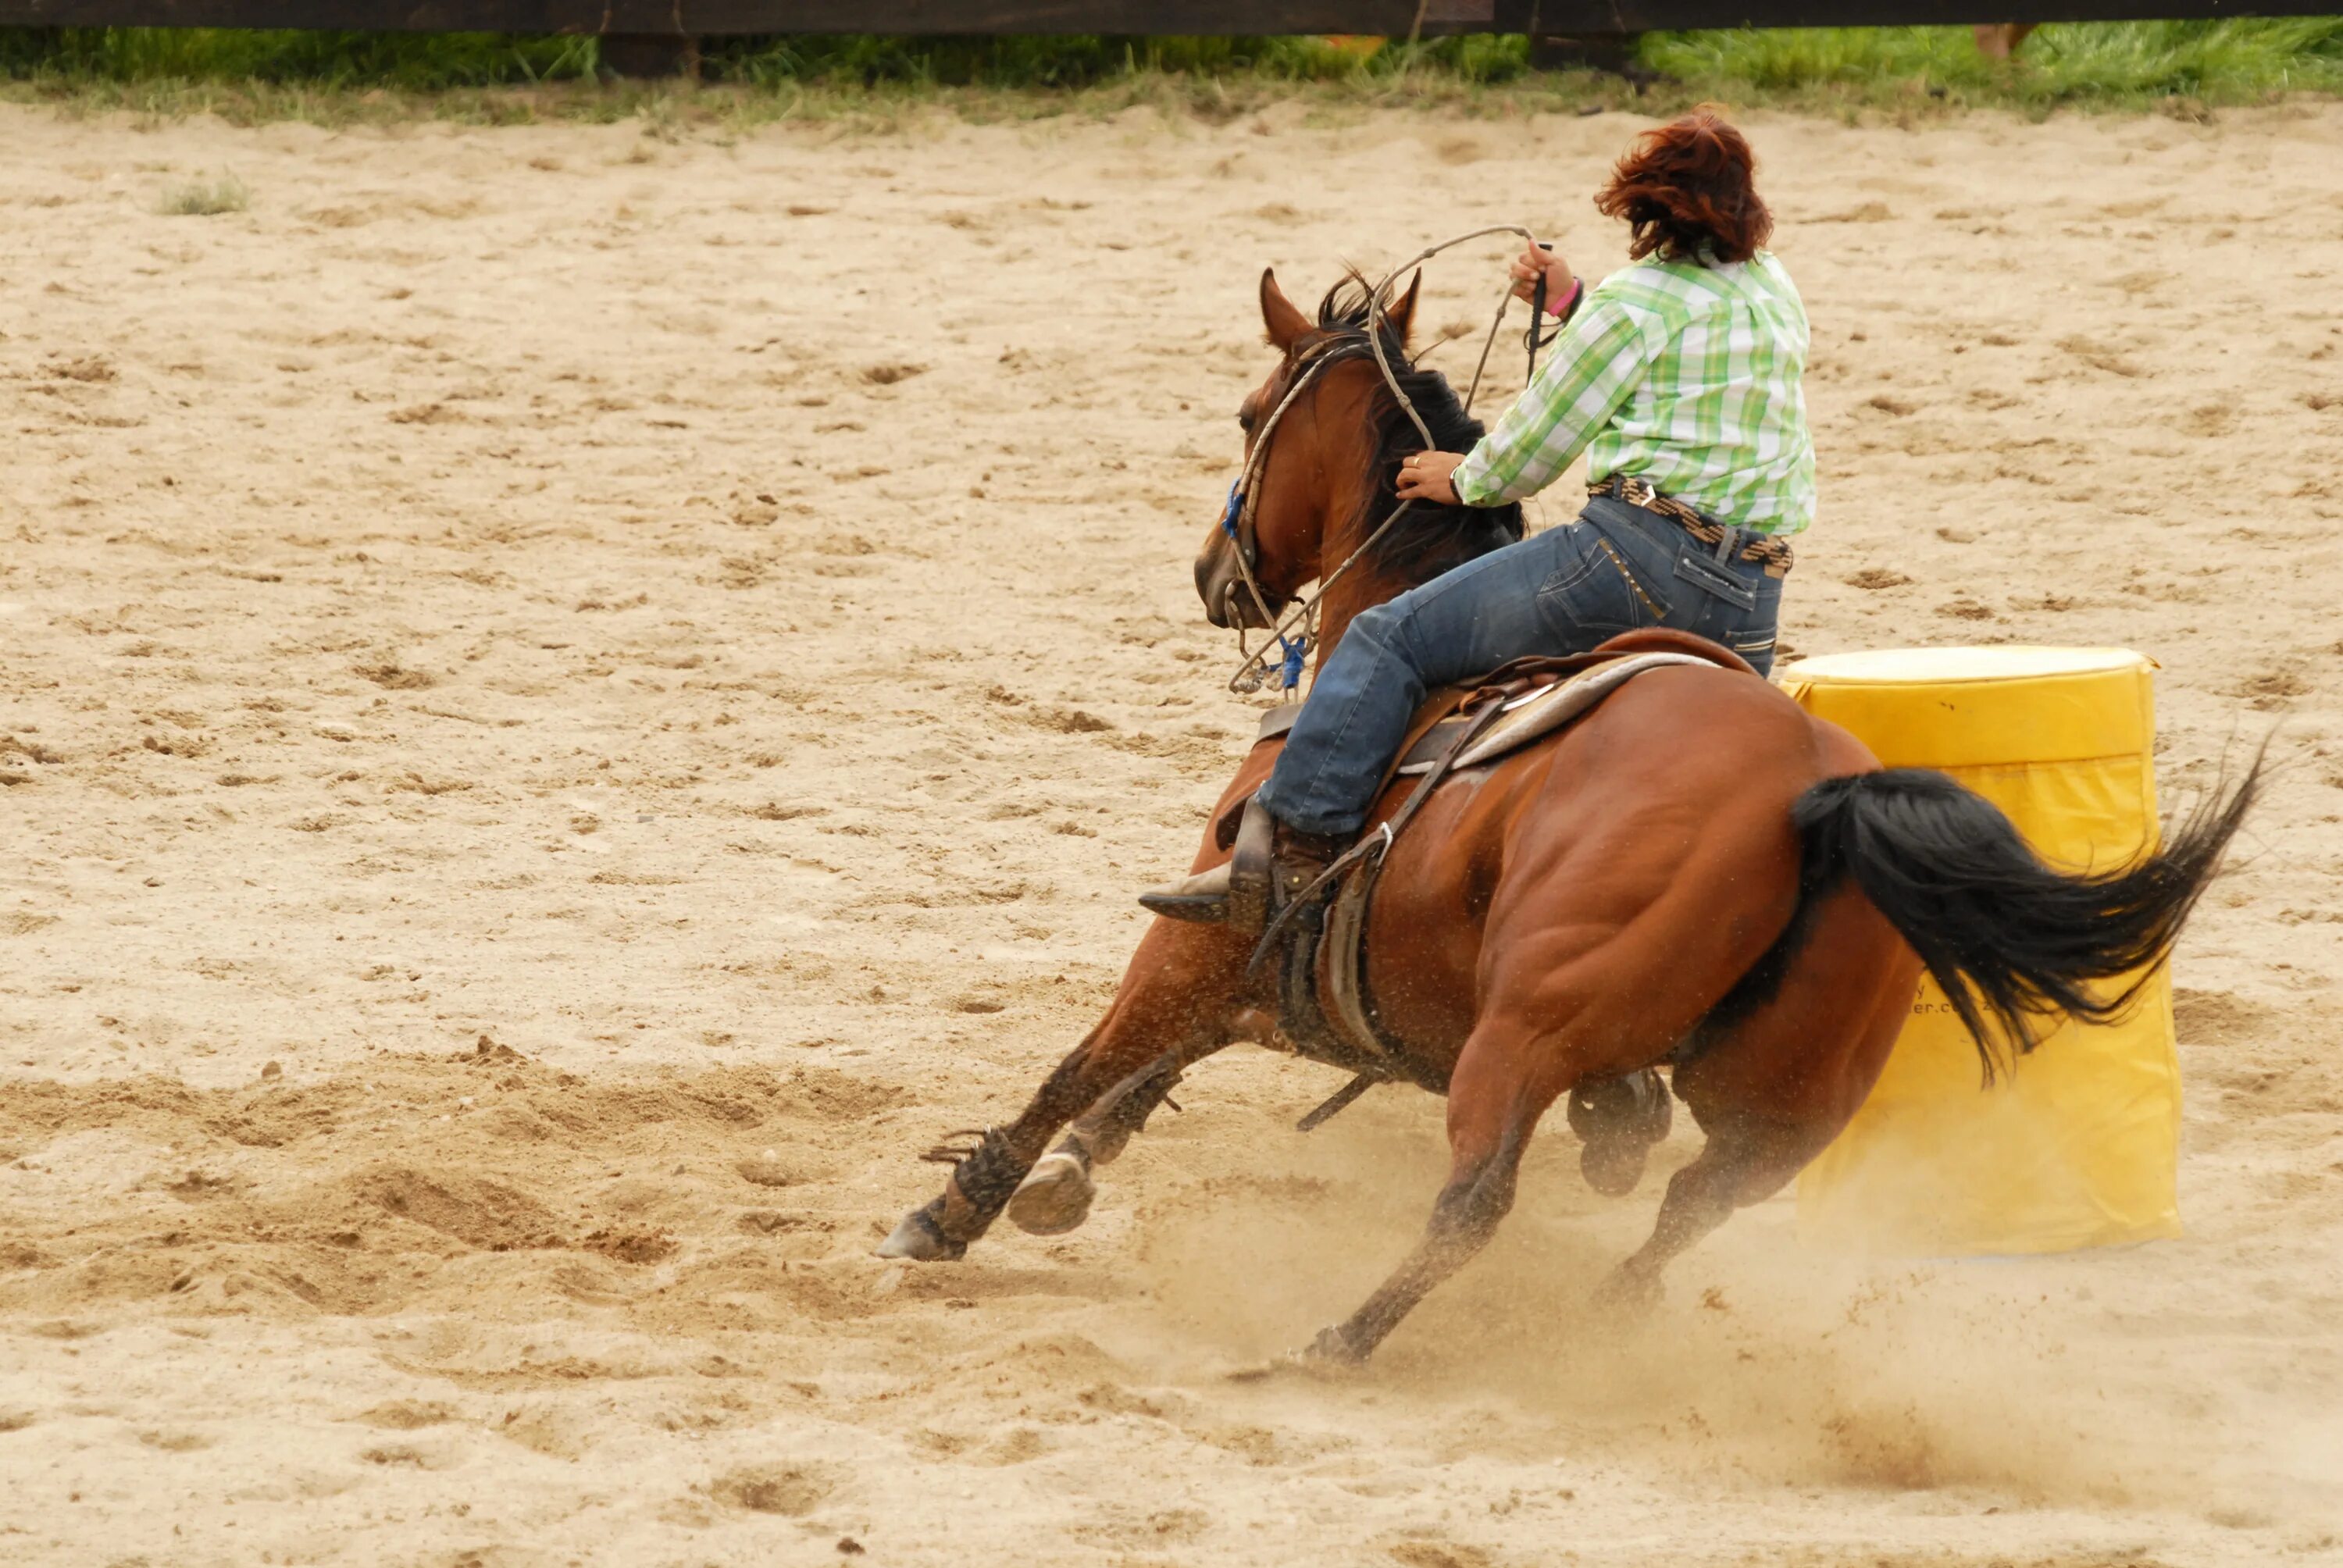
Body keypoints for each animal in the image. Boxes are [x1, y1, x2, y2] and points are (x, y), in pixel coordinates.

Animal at [876, 269, 2249, 1359]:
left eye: (1252, 414)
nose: (1217, 578)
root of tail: (1815, 787)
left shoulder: (1201, 942)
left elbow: (1086, 1059)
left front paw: (956, 1209)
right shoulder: (1292, 986)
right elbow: (1143, 1076)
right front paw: (1063, 1181)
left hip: (1527, 1034)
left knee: (1476, 1197)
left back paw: (1340, 1341)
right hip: (1783, 1100)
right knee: (1691, 1207)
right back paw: (1599, 1317)